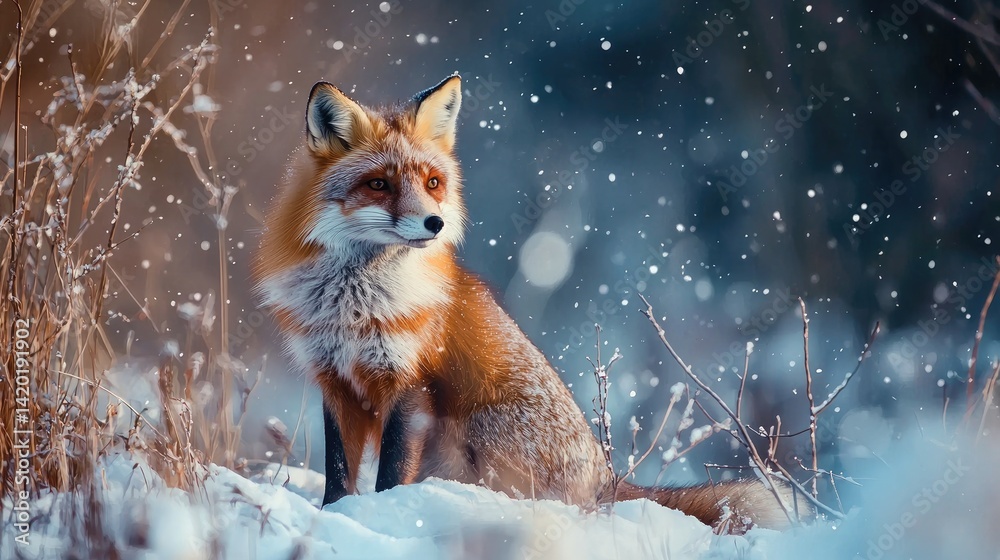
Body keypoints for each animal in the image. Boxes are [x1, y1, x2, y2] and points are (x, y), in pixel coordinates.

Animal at [254, 74, 806, 532]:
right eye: (378, 184)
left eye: (433, 183)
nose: (434, 222)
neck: (354, 304)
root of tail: (604, 481)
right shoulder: (334, 379)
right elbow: (337, 471)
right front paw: (332, 515)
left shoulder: (411, 381)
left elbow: (390, 471)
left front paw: (381, 516)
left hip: (470, 430)